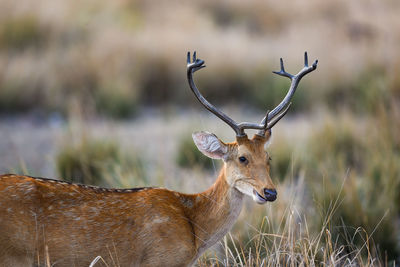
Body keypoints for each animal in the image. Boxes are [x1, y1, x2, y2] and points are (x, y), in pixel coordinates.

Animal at [0, 51, 318, 266]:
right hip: (14, 256)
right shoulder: (159, 260)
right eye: (241, 158)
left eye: (269, 157)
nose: (270, 192)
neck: (193, 228)